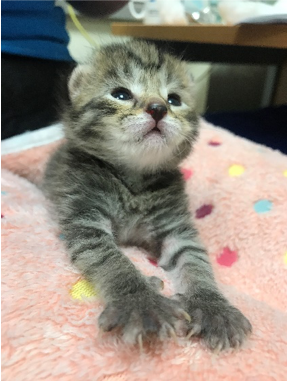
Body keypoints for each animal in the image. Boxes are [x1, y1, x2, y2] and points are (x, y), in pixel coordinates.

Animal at [44, 40, 253, 348]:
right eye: (121, 94)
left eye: (174, 99)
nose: (158, 108)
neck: (135, 181)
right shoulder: (85, 217)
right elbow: (111, 259)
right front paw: (142, 302)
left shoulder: (176, 227)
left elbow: (196, 260)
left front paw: (213, 307)